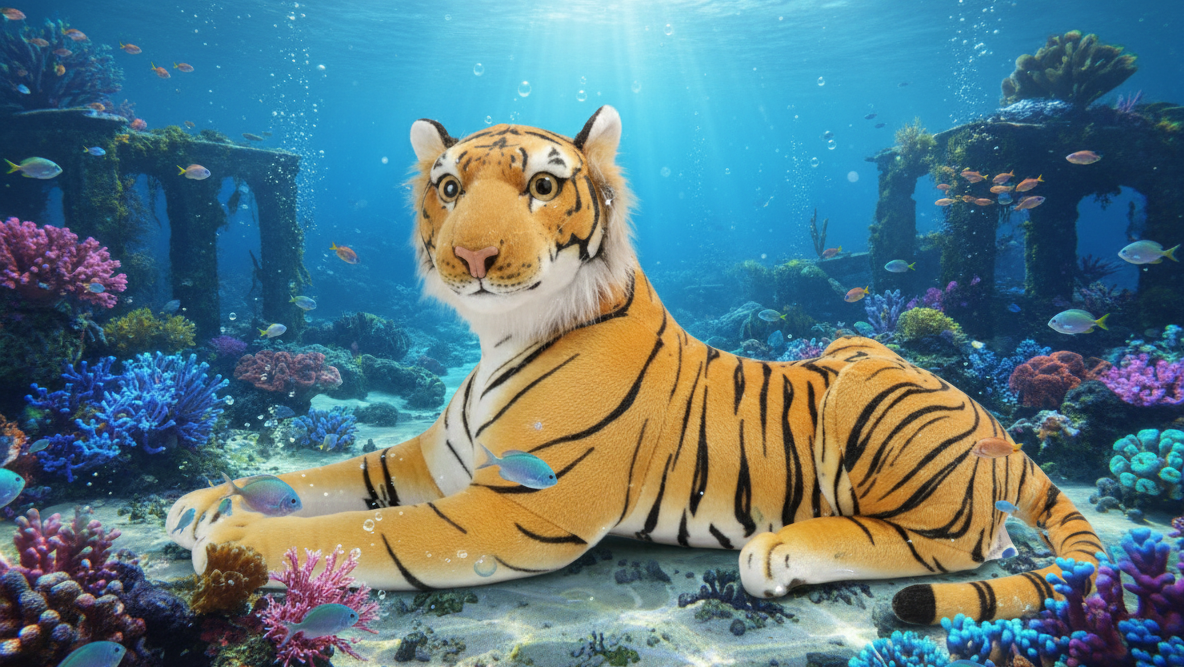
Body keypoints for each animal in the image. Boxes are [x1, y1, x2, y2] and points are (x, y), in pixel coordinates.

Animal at [167, 105, 1104, 625]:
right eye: (447, 186)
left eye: (543, 186)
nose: (471, 255)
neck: (497, 336)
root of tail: (999, 423)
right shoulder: (428, 460)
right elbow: (327, 476)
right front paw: (204, 502)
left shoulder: (514, 509)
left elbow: (367, 530)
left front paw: (236, 539)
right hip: (853, 347)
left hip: (873, 405)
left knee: (950, 546)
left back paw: (778, 552)